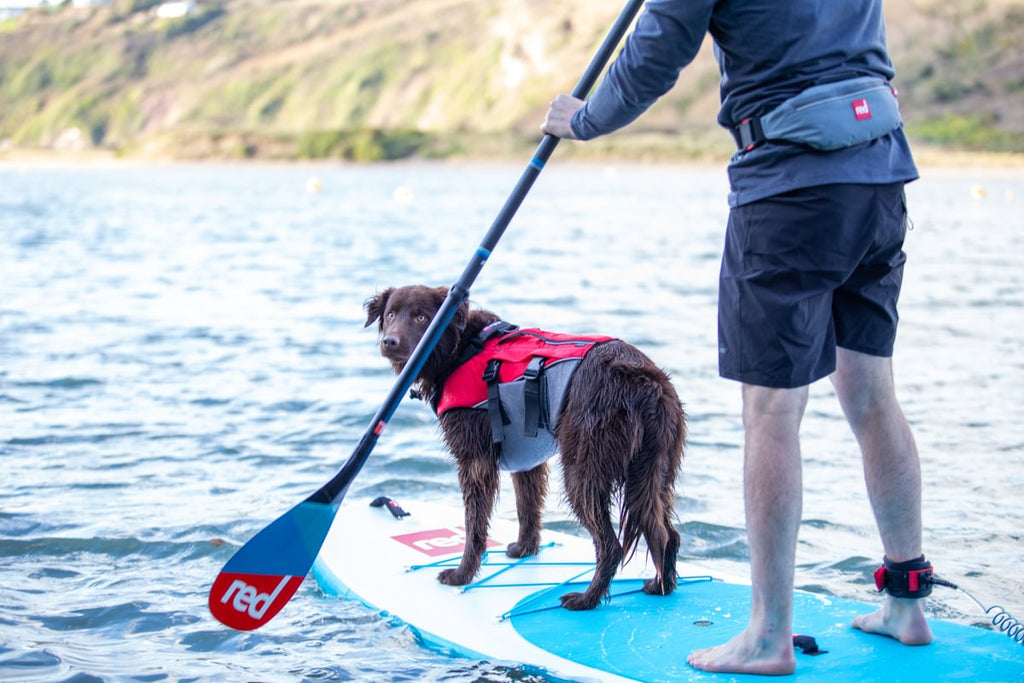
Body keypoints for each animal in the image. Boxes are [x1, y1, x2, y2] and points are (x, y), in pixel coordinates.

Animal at [364, 286, 684, 610]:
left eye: (422, 317)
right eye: (390, 315)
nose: (390, 342)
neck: (461, 349)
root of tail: (646, 380)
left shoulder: (474, 459)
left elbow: (473, 523)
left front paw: (462, 574)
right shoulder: (527, 457)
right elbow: (527, 505)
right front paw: (525, 549)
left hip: (583, 469)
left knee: (611, 546)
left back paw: (586, 599)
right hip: (652, 471)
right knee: (666, 532)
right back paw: (661, 586)